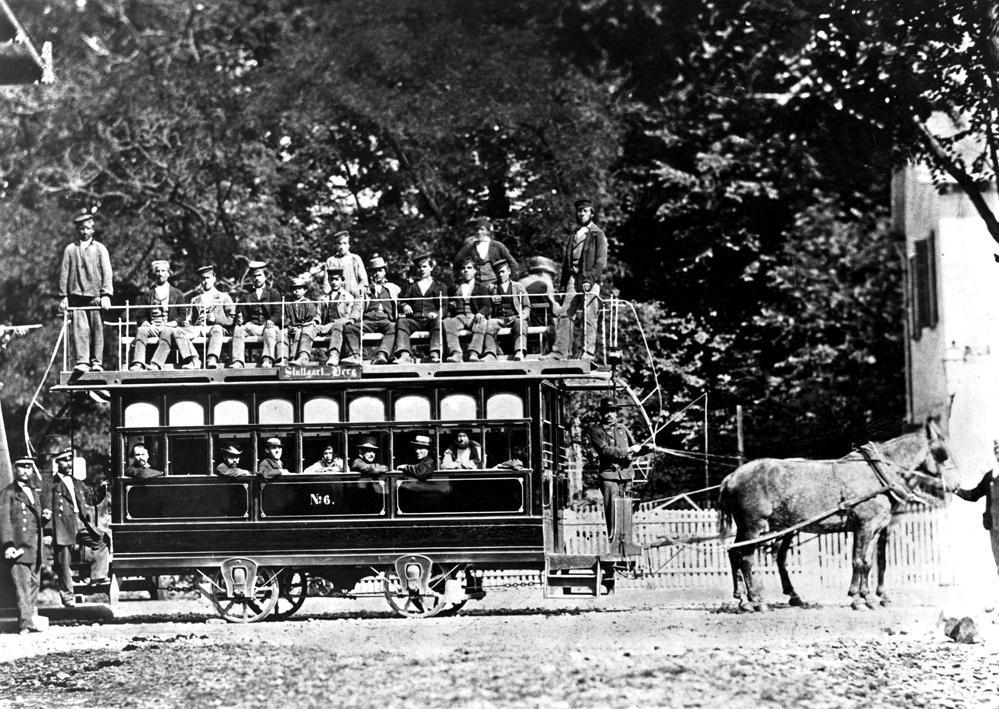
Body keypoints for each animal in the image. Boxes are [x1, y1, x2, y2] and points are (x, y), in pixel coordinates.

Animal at [716, 420, 956, 608]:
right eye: (943, 455)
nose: (956, 484)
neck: (877, 475)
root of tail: (731, 477)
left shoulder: (876, 529)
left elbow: (869, 562)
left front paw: (868, 596)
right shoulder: (865, 526)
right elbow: (860, 561)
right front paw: (859, 599)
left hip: (762, 528)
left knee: (738, 553)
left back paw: (746, 599)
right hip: (753, 525)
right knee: (746, 557)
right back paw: (757, 600)